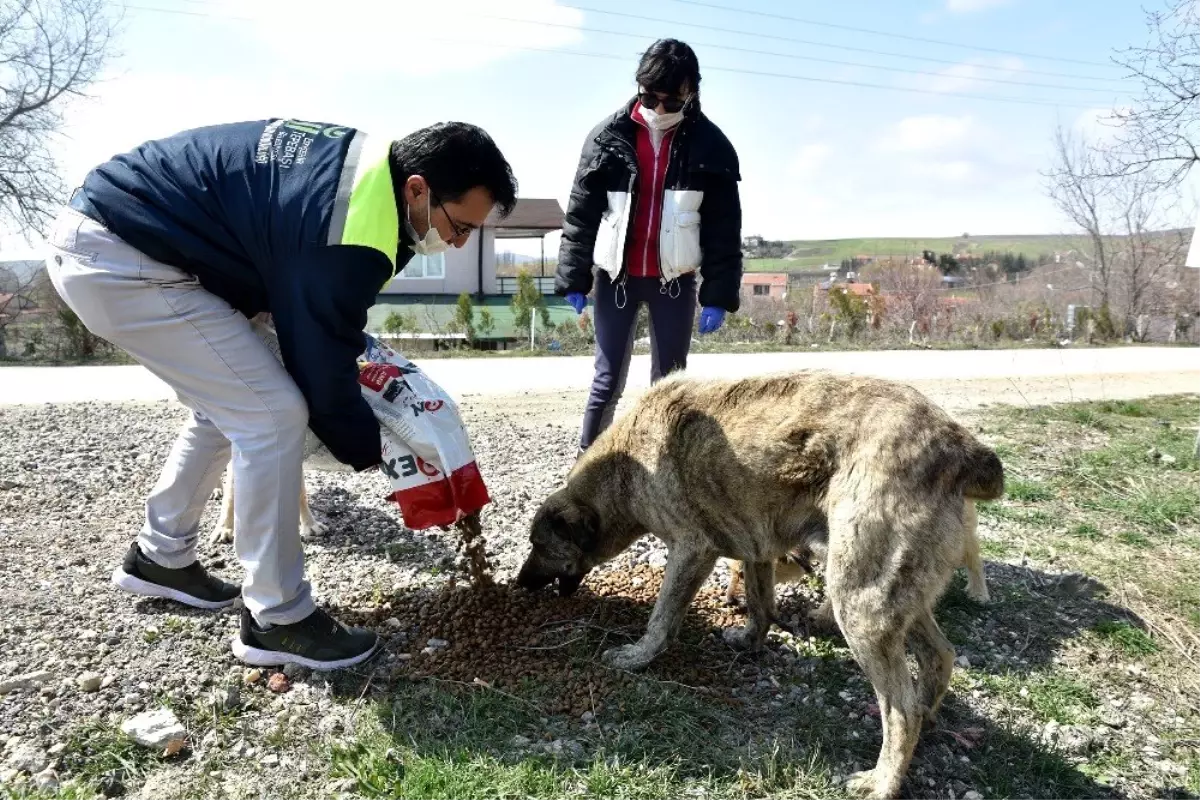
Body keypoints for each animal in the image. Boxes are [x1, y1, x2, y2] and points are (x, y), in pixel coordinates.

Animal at [516, 371, 1003, 800]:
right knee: (939, 656)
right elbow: (759, 603)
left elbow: (662, 618)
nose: (520, 584)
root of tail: (962, 451)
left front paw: (638, 656)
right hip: (894, 598)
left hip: (859, 602)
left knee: (901, 709)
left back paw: (884, 781)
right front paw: (750, 641)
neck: (624, 467)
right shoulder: (754, 547)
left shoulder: (691, 549)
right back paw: (929, 721)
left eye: (538, 545)